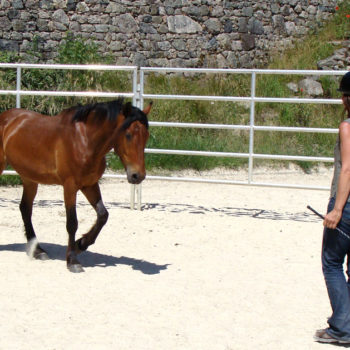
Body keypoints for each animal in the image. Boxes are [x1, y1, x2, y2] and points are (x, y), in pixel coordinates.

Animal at [0, 98, 150, 274]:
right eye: (128, 135)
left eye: (146, 136)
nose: (138, 176)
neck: (84, 141)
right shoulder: (70, 186)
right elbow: (72, 223)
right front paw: (72, 261)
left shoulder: (89, 184)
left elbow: (103, 215)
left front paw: (81, 244)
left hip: (29, 178)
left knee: (25, 209)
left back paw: (38, 251)